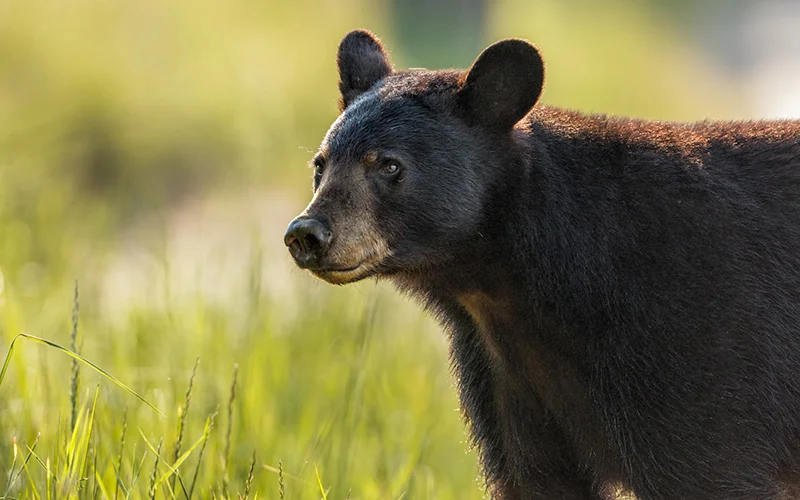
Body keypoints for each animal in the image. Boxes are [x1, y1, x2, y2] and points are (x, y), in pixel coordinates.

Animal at [284, 30, 800, 500]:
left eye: (389, 165)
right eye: (320, 164)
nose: (307, 233)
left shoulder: (696, 340)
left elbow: (706, 465)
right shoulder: (507, 376)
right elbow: (536, 475)